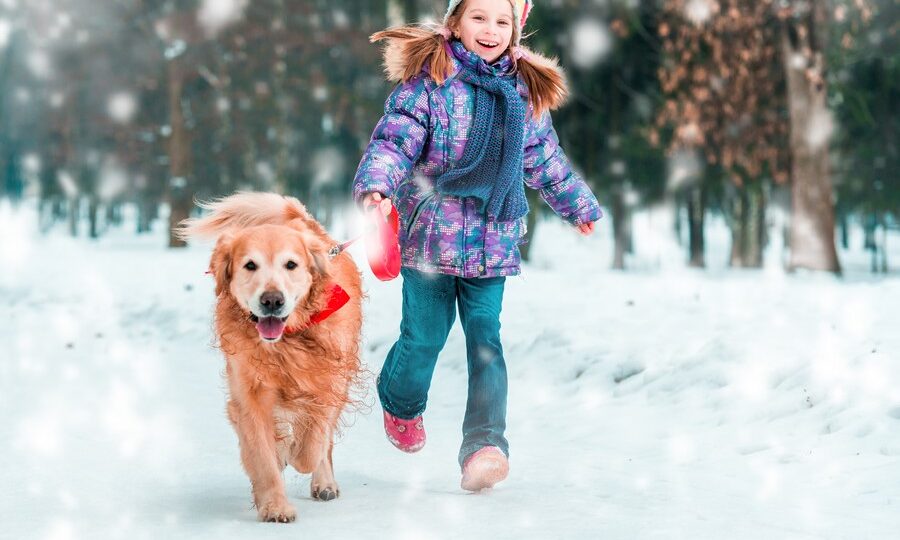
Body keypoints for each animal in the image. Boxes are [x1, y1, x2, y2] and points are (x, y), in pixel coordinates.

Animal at [176, 191, 362, 524]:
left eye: (291, 264)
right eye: (250, 265)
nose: (272, 300)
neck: (287, 340)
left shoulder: (329, 383)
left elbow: (311, 445)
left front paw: (295, 453)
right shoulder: (250, 396)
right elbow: (263, 457)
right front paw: (275, 505)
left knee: (323, 443)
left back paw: (324, 482)